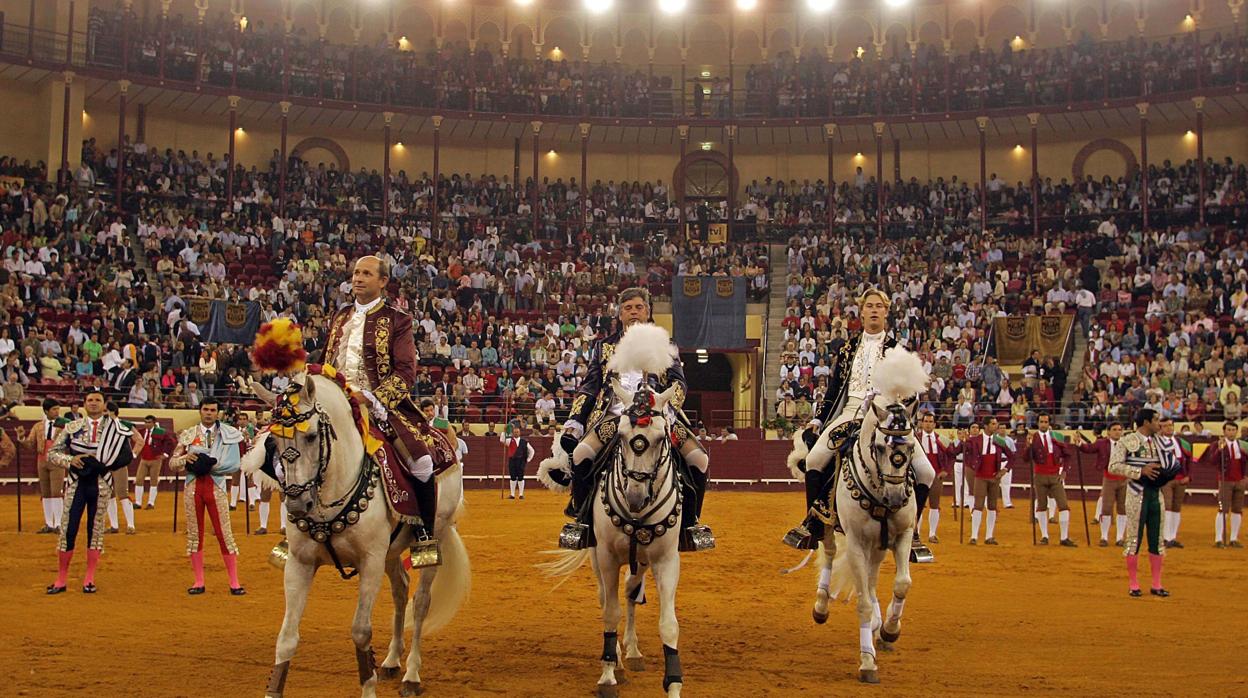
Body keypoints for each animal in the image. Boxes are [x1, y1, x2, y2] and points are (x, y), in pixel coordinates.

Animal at [245, 377, 469, 698]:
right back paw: (391, 661)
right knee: (401, 590)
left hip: (433, 536)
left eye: (312, 436)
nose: (298, 505)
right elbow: (286, 636)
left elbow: (361, 631)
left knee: (421, 602)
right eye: (274, 441)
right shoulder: (299, 564)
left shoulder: (370, 561)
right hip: (391, 552)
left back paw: (411, 675)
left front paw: (370, 685)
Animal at [539, 379, 688, 694]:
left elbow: (668, 623)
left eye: (661, 437)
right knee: (606, 598)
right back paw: (618, 657)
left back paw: (632, 651)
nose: (635, 497)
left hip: (641, 560)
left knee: (631, 590)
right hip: (597, 554)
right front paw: (608, 673)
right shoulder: (606, 555)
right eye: (621, 435)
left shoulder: (667, 560)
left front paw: (674, 684)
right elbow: (610, 612)